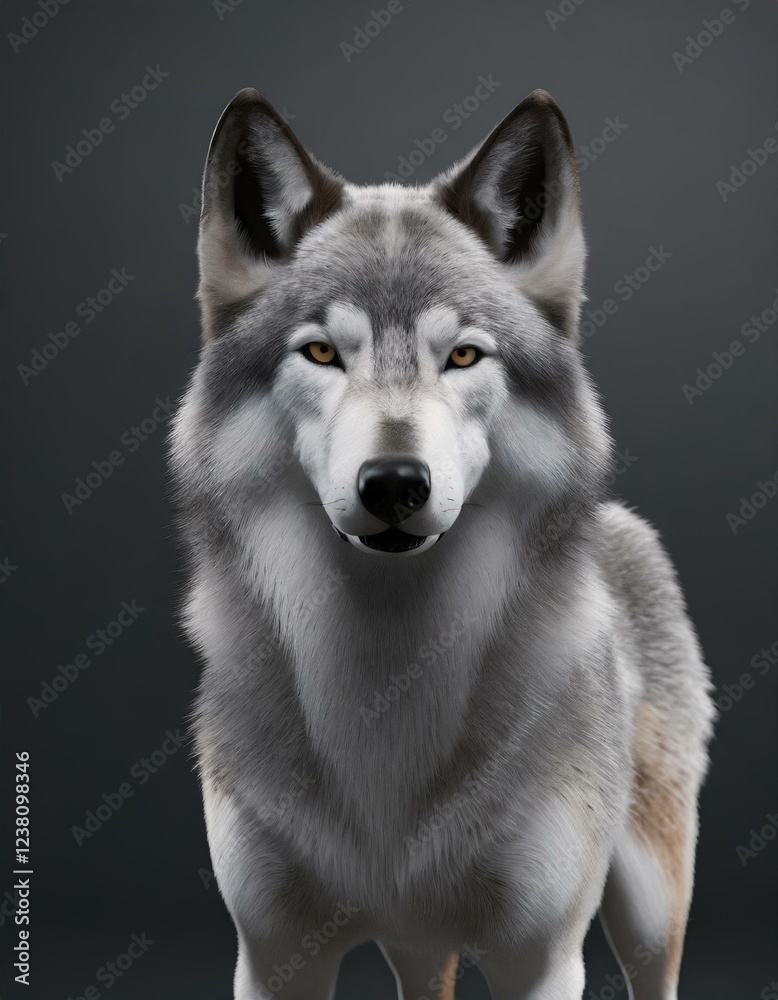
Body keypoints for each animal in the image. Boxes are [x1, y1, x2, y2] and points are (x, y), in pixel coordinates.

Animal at [170, 87, 715, 1000]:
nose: (394, 483)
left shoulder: (540, 960)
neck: (387, 682)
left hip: (646, 908)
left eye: (463, 355)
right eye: (321, 351)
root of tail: (624, 527)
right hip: (418, 946)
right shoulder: (274, 955)